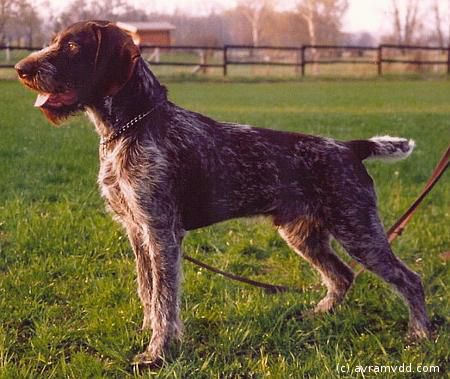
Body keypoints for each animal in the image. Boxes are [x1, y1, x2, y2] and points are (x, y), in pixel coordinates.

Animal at [13, 20, 428, 368]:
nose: (20, 69)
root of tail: (349, 147)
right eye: (54, 41)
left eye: (71, 46)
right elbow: (147, 291)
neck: (129, 128)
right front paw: (148, 335)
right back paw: (319, 314)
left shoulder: (161, 233)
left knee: (409, 279)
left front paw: (157, 353)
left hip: (358, 230)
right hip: (302, 234)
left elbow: (164, 299)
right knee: (342, 275)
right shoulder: (136, 230)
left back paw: (420, 334)